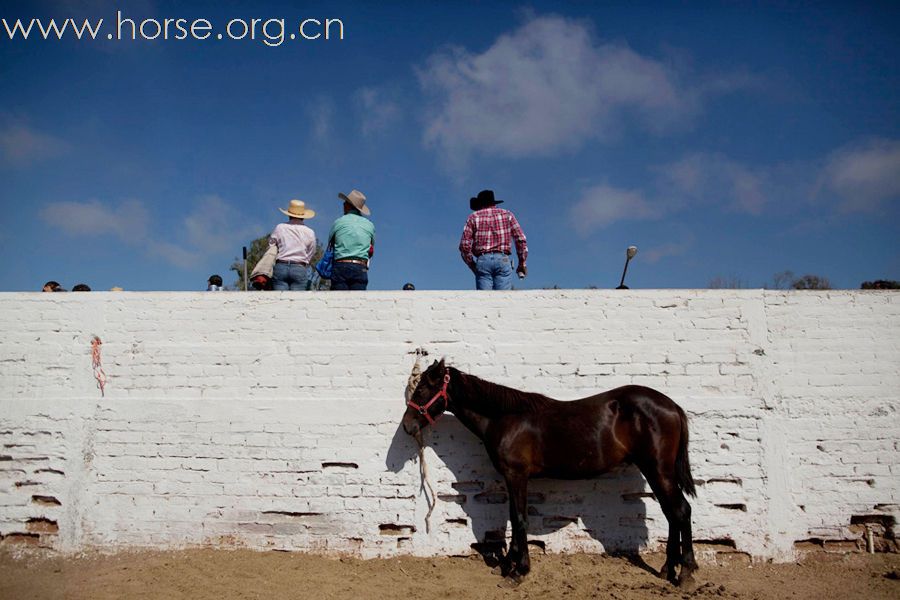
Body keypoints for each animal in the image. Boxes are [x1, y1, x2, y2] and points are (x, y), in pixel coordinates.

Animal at [402, 360, 704, 584]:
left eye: (422, 390)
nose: (408, 426)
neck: (506, 418)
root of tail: (672, 406)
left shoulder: (517, 475)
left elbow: (520, 519)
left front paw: (519, 570)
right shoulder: (513, 478)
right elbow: (514, 517)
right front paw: (511, 564)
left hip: (658, 470)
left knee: (680, 511)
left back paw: (685, 573)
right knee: (672, 513)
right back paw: (667, 569)